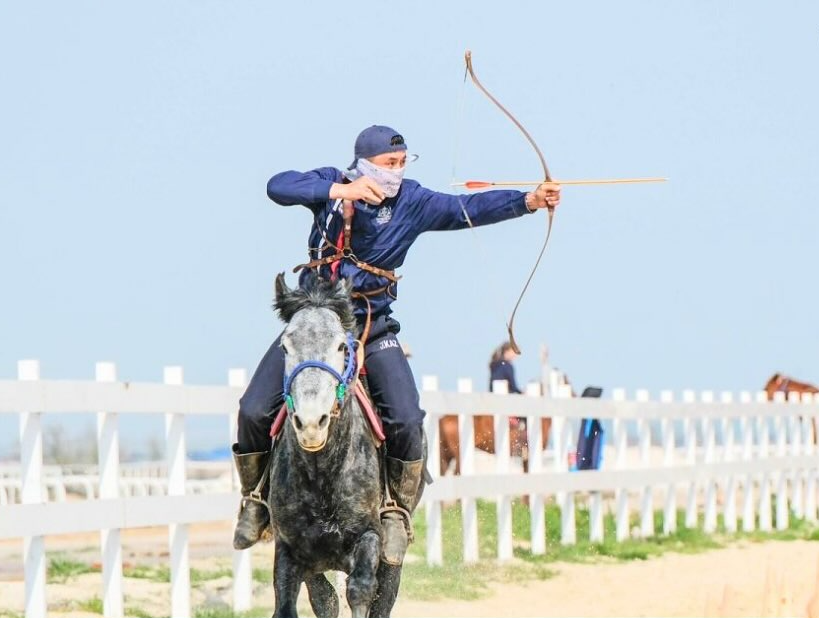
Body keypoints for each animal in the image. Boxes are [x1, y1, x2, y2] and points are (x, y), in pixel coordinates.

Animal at [268, 274, 414, 616]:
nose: (311, 423)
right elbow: (305, 601)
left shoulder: (368, 538)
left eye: (340, 345)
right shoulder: (289, 548)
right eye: (285, 346)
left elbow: (361, 591)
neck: (323, 474)